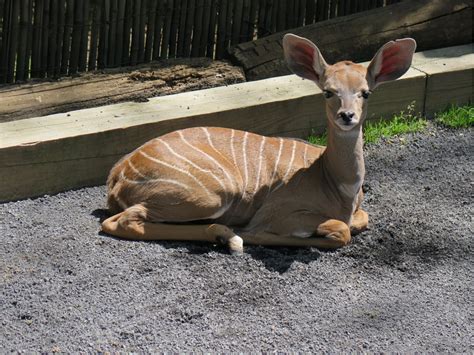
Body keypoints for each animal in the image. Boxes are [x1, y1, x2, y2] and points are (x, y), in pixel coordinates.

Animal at [102, 34, 416, 254]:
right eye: (328, 92)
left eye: (366, 92)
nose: (347, 115)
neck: (336, 184)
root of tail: (117, 175)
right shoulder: (279, 212)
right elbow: (341, 230)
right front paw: (254, 234)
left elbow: (360, 220)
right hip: (212, 194)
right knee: (121, 220)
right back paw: (229, 236)